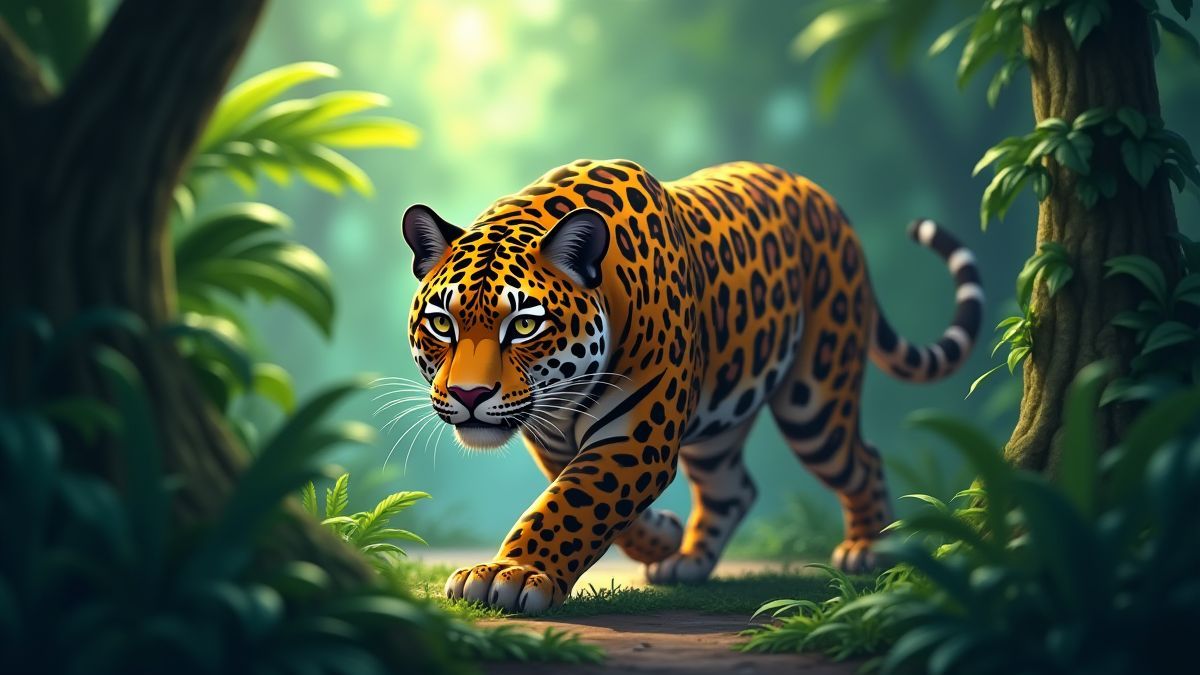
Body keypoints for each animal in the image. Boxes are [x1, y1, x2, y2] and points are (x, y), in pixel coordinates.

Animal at [399, 159, 983, 614]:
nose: (470, 396)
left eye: (523, 325)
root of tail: (820, 194)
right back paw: (687, 560)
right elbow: (592, 502)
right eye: (442, 323)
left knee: (861, 459)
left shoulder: (638, 439)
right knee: (733, 487)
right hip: (721, 413)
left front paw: (512, 574)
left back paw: (867, 549)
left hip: (814, 398)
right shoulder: (555, 439)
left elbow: (572, 503)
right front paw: (662, 536)